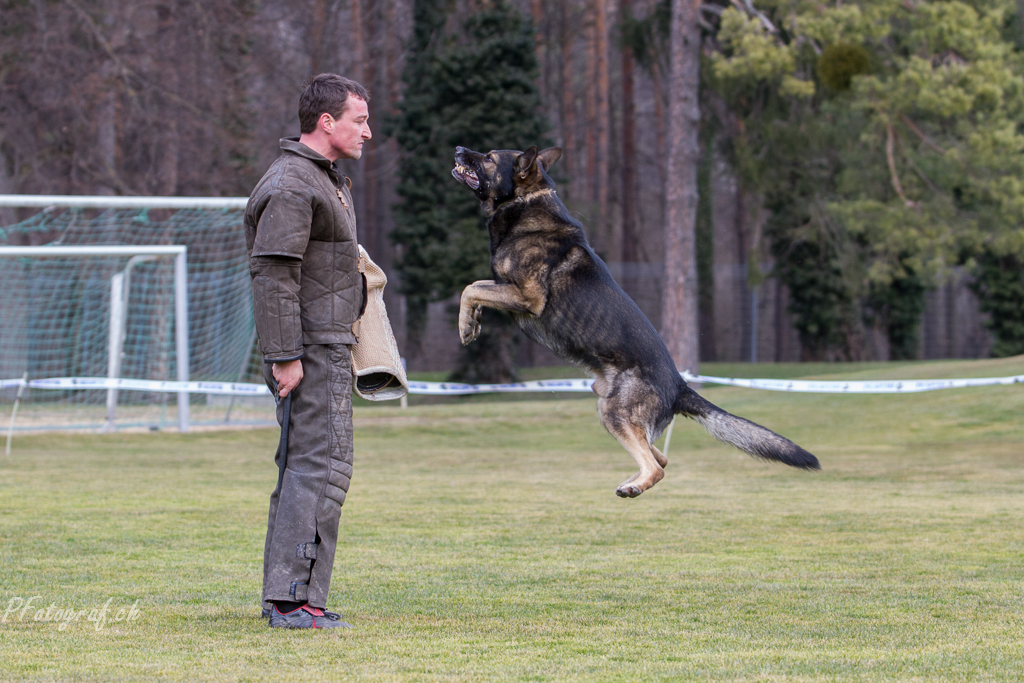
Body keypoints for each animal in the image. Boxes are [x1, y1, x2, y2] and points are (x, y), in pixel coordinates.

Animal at [452, 145, 819, 497]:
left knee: (657, 465)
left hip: (615, 413)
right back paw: (632, 481)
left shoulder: (527, 296)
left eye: (488, 157)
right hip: (608, 408)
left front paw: (465, 326)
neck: (524, 203)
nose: (457, 149)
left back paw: (634, 487)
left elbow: (470, 288)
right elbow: (477, 286)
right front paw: (473, 321)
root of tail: (679, 385)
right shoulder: (506, 289)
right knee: (660, 456)